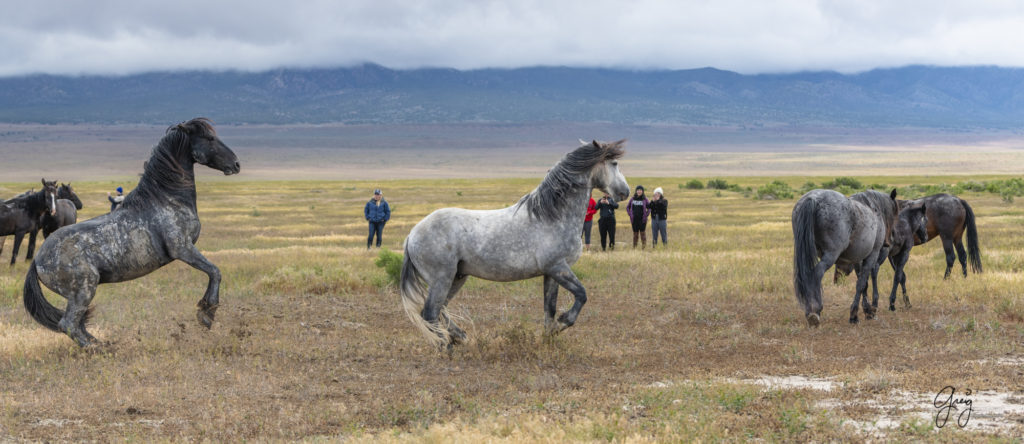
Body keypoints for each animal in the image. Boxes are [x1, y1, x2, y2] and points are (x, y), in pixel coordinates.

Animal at [24, 118, 241, 347]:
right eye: (209, 138)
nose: (236, 164)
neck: (166, 198)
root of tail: (37, 260)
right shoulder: (183, 249)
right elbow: (215, 272)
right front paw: (206, 314)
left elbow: (213, 272)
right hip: (83, 290)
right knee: (69, 325)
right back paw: (100, 350)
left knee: (78, 325)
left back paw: (103, 344)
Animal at [401, 140, 630, 347]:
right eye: (614, 163)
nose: (625, 193)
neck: (552, 216)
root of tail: (411, 235)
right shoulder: (557, 267)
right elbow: (581, 295)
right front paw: (563, 323)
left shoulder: (551, 273)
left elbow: (550, 307)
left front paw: (549, 337)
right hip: (442, 278)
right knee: (430, 312)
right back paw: (445, 346)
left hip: (457, 277)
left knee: (441, 310)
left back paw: (461, 338)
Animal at [790, 188, 897, 325]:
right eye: (894, 213)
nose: (889, 241)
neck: (873, 208)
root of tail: (813, 198)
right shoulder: (872, 255)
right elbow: (861, 283)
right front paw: (855, 314)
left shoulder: (857, 259)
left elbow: (864, 284)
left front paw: (867, 310)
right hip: (831, 254)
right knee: (816, 273)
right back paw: (815, 310)